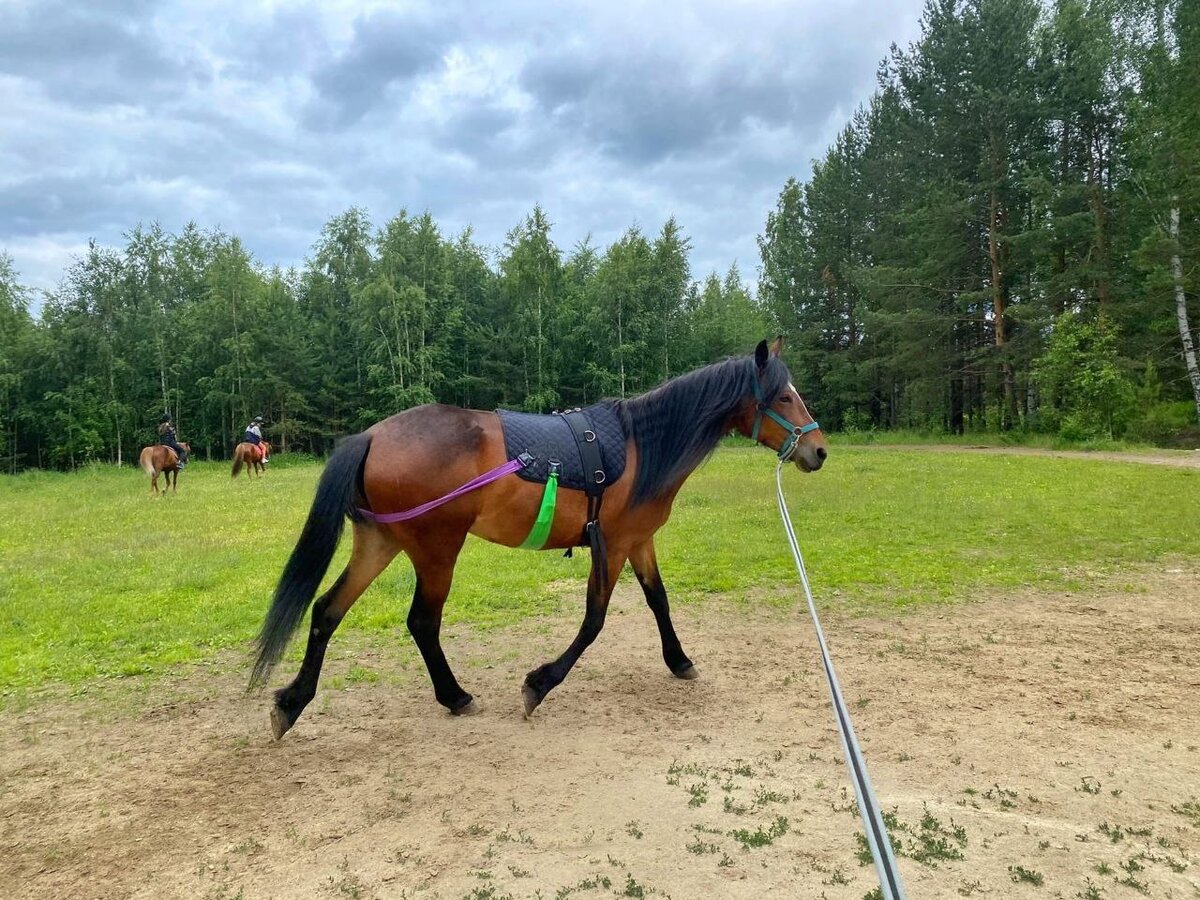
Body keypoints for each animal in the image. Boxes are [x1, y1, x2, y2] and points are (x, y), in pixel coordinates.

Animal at [248, 338, 830, 739]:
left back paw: (292, 702)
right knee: (422, 623)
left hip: (381, 543)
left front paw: (679, 660)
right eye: (783, 396)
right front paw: (539, 684)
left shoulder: (639, 542)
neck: (642, 445)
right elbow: (594, 622)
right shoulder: (614, 544)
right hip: (436, 550)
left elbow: (659, 601)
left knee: (327, 611)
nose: (819, 450)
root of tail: (372, 435)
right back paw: (454, 696)